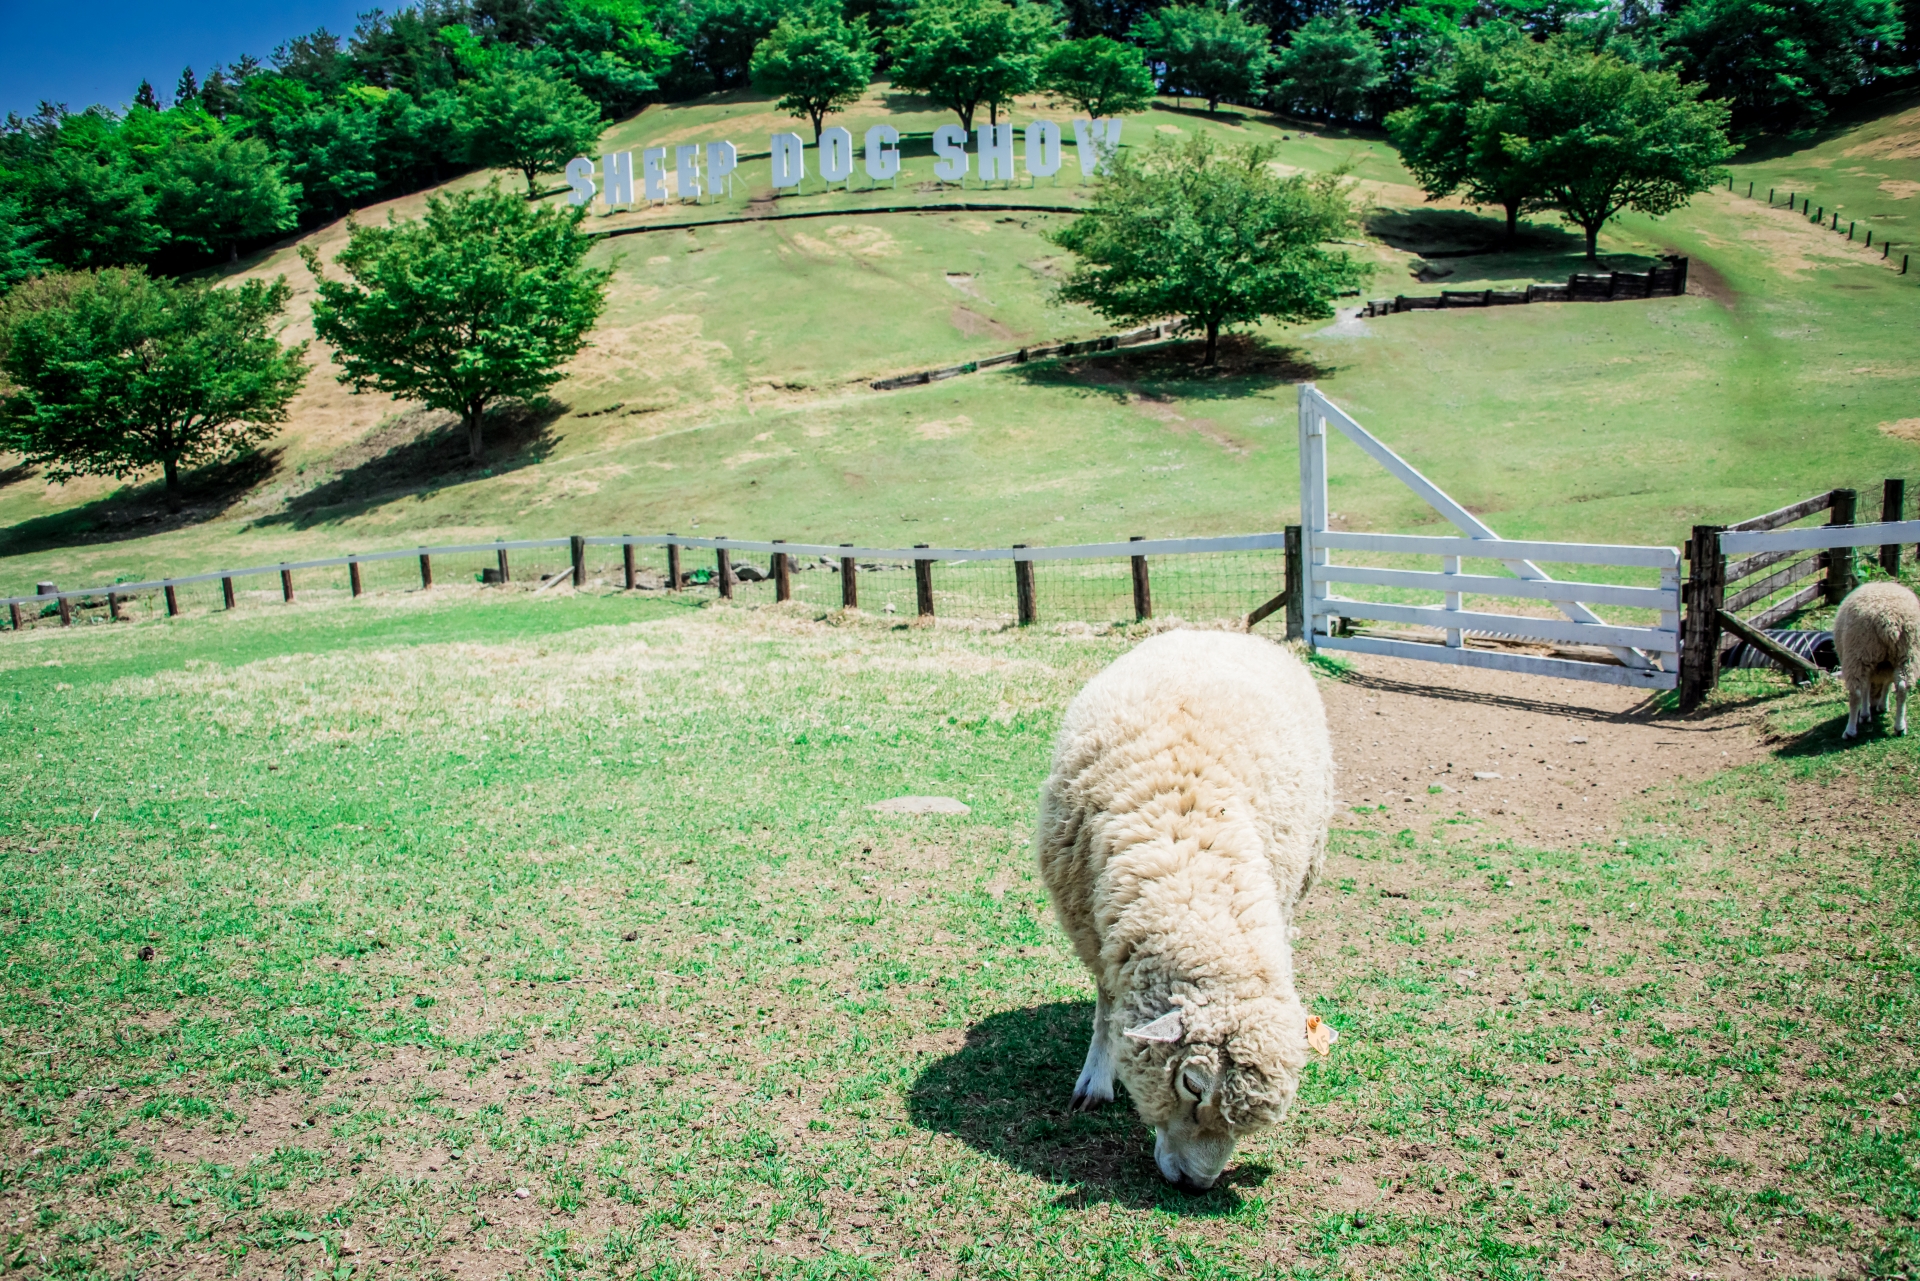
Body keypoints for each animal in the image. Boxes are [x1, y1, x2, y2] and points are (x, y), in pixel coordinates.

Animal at [1036, 629, 1336, 1190]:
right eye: (1192, 1085)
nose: (1195, 1185)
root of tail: (1221, 630)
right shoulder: (1095, 935)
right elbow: (1107, 1010)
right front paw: (1096, 1079)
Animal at [1835, 576, 1912, 737]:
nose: (1875, 704)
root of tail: (1889, 621)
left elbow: (1867, 687)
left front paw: (1866, 714)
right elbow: (1887, 683)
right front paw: (1881, 707)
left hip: (1858, 655)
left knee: (1856, 693)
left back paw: (1850, 731)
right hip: (1907, 654)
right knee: (1902, 687)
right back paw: (1900, 727)